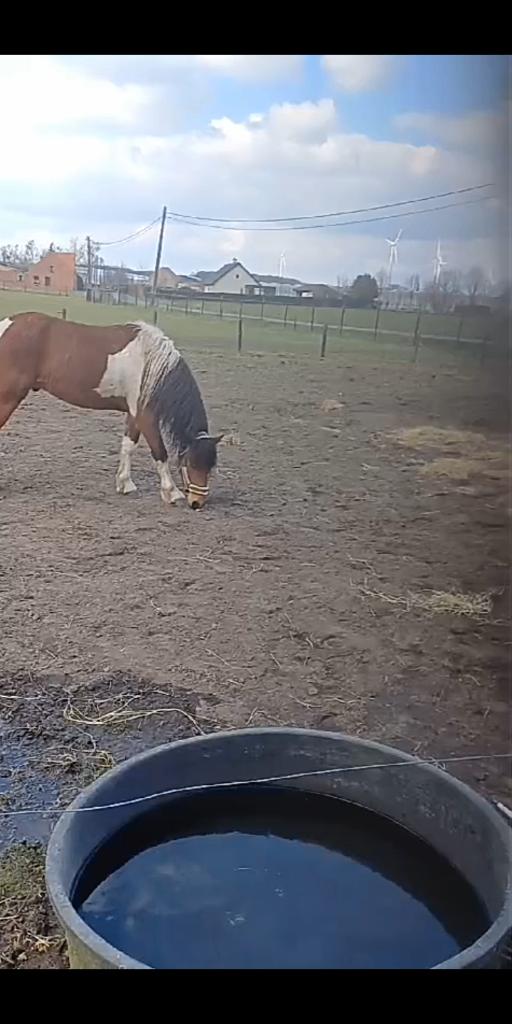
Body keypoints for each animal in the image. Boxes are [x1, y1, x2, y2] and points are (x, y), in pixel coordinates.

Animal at [0, 312, 223, 509]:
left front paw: (125, 483)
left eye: (211, 466)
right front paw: (171, 492)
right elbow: (160, 452)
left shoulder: (134, 414)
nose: (197, 503)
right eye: (192, 463)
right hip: (9, 396)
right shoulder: (146, 416)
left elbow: (128, 446)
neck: (151, 362)